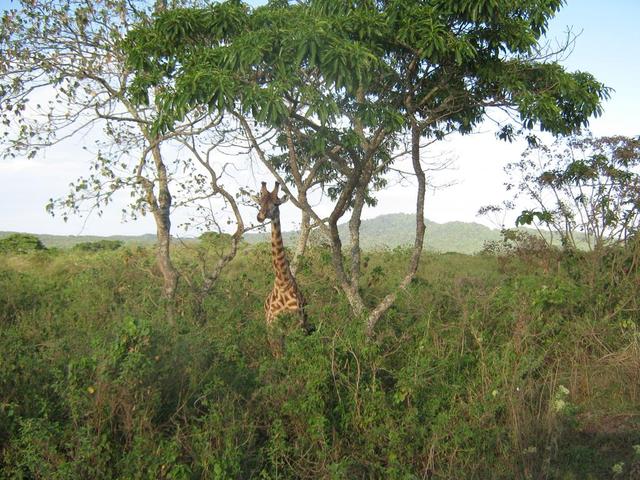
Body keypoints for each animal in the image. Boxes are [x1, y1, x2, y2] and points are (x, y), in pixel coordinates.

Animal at [255, 182, 316, 346]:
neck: (282, 283)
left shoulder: (296, 327)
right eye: (260, 202)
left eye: (276, 203)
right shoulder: (272, 329)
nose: (260, 216)